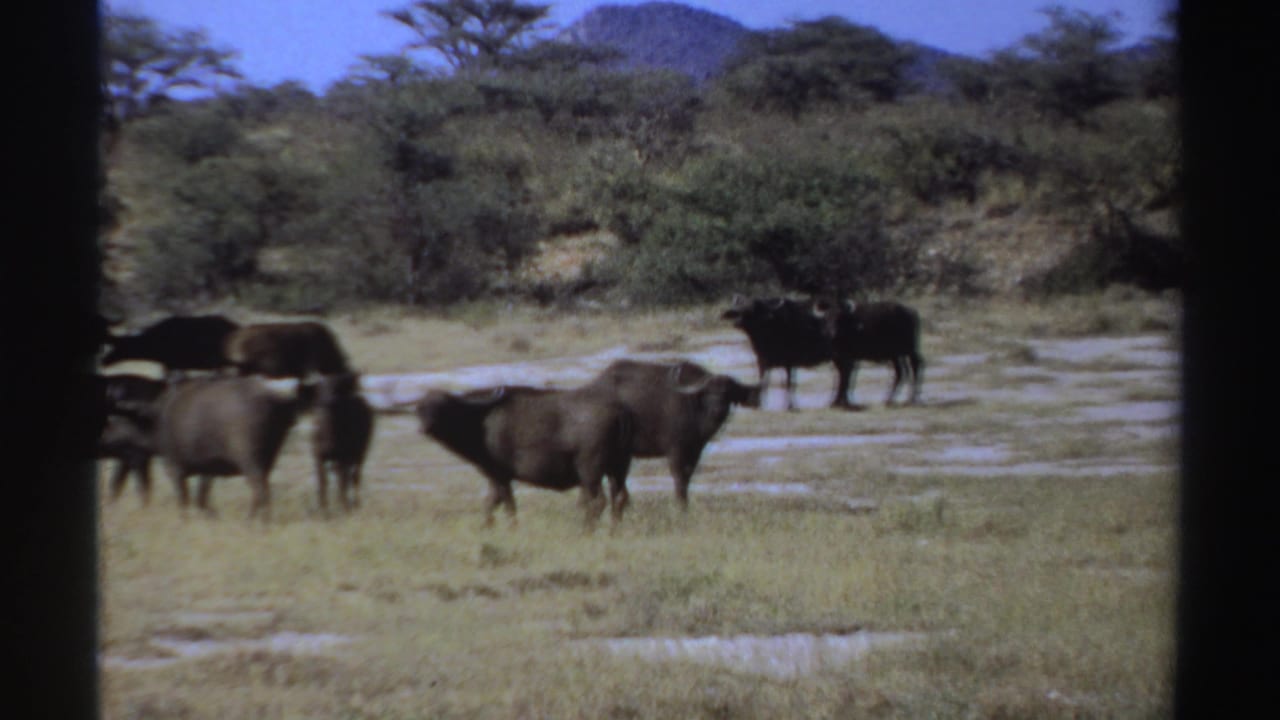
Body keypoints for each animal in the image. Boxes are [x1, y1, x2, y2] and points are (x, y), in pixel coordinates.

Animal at [155, 377, 309, 520]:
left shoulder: (176, 468)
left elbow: (185, 500)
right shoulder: (207, 470)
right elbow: (201, 498)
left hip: (250, 459)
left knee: (259, 490)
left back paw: (254, 521)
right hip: (267, 459)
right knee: (263, 490)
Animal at [311, 373, 375, 514]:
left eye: (337, 387)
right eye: (321, 387)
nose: (330, 400)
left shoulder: (343, 456)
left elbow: (343, 481)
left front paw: (344, 506)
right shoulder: (318, 455)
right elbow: (322, 481)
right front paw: (323, 509)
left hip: (361, 452)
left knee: (355, 476)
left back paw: (355, 503)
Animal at [415, 385, 633, 530]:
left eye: (443, 406)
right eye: (420, 409)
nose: (425, 428)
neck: (481, 420)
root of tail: (618, 412)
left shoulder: (501, 476)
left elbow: (508, 505)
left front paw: (511, 527)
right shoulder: (494, 478)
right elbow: (490, 503)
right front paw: (487, 527)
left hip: (590, 471)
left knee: (598, 501)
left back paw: (586, 530)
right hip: (619, 468)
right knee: (620, 498)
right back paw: (614, 530)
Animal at [581, 359, 759, 507]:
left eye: (729, 393)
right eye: (708, 392)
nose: (718, 409)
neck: (694, 406)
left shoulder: (694, 452)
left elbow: (687, 478)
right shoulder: (676, 450)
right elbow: (679, 479)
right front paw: (681, 507)